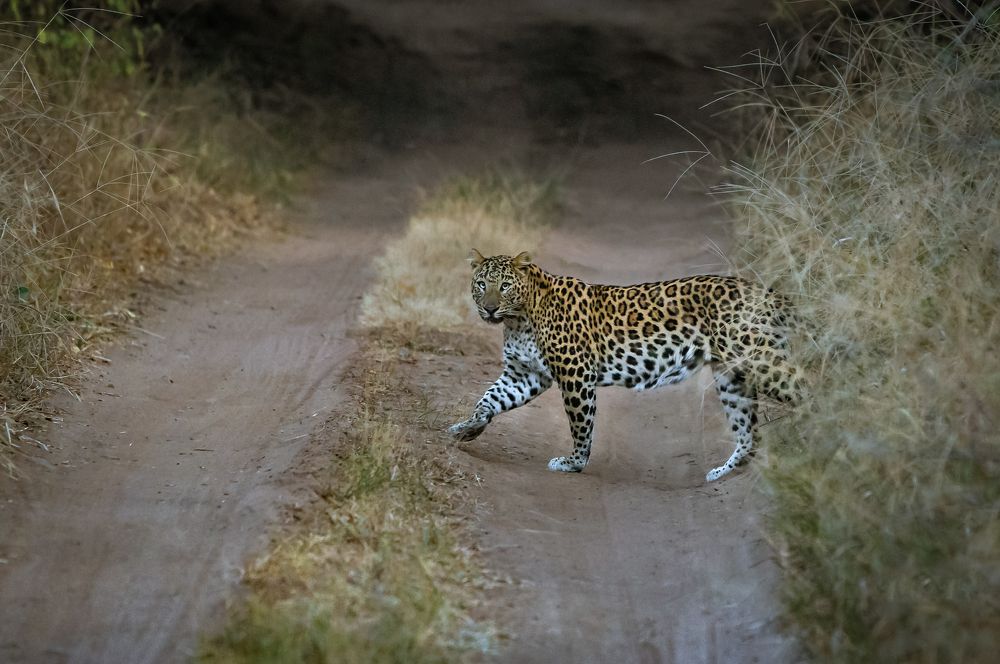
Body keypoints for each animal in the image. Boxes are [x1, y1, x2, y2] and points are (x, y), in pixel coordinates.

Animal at [448, 249, 803, 481]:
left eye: (505, 286)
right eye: (482, 284)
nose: (490, 309)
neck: (519, 319)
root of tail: (764, 292)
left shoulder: (575, 373)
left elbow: (580, 425)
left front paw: (574, 463)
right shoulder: (525, 374)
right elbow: (491, 398)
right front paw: (467, 428)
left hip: (759, 359)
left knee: (804, 387)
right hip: (732, 375)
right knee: (748, 435)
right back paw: (722, 471)